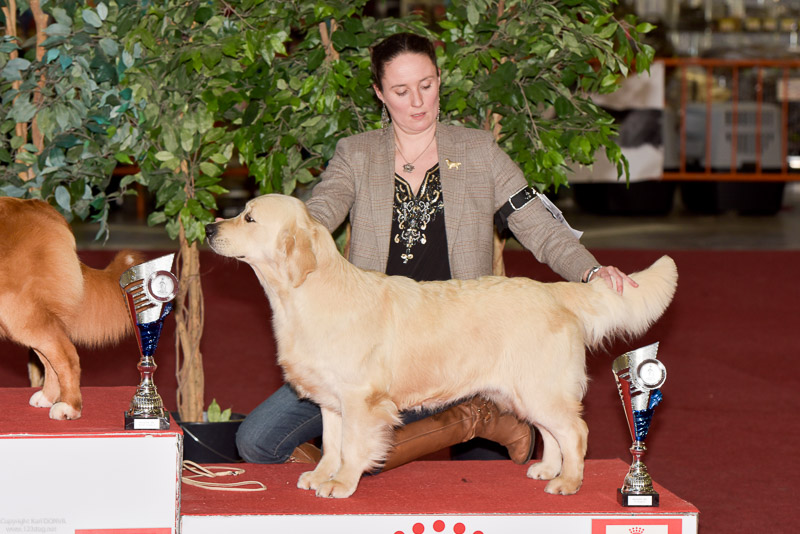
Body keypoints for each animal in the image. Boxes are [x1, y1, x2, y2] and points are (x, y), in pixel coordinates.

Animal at [0, 197, 142, 418]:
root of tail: (42, 208)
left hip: (18, 310)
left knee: (67, 355)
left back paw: (68, 407)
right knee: (50, 358)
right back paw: (47, 398)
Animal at [205, 194, 676, 502]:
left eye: (249, 218)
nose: (209, 228)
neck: (306, 295)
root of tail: (554, 292)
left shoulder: (361, 400)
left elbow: (353, 446)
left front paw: (342, 483)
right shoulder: (331, 401)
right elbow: (332, 443)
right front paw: (322, 476)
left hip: (538, 387)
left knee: (575, 431)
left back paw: (568, 482)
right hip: (526, 391)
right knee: (552, 431)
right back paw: (548, 468)